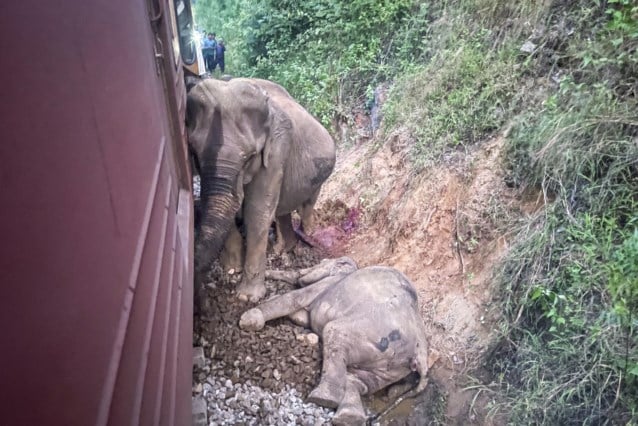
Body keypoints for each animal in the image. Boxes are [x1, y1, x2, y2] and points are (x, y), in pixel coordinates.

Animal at [188, 78, 338, 304]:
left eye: (249, 157)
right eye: (195, 153)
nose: (202, 302)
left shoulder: (277, 146)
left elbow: (257, 209)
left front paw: (247, 297)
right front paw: (232, 269)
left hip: (320, 174)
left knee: (306, 205)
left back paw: (308, 237)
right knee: (283, 210)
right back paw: (283, 249)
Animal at [240, 256, 430, 426]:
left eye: (321, 263)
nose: (267, 272)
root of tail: (420, 353)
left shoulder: (327, 284)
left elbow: (295, 298)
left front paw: (249, 320)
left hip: (373, 338)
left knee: (334, 334)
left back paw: (323, 399)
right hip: (391, 367)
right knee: (358, 381)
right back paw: (348, 419)